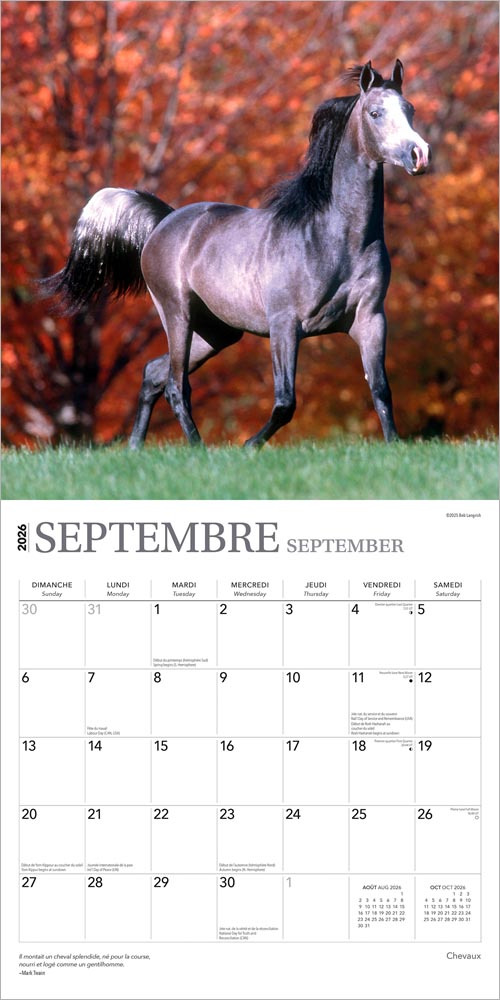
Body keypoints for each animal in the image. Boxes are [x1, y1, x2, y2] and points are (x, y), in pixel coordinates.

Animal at [40, 60, 430, 449]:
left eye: (410, 109)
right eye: (375, 113)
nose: (419, 155)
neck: (336, 239)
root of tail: (164, 221)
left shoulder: (370, 319)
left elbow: (380, 390)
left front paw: (394, 446)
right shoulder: (284, 324)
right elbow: (285, 402)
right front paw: (249, 446)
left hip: (217, 332)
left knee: (153, 373)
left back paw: (136, 447)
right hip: (177, 314)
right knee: (175, 385)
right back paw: (197, 448)